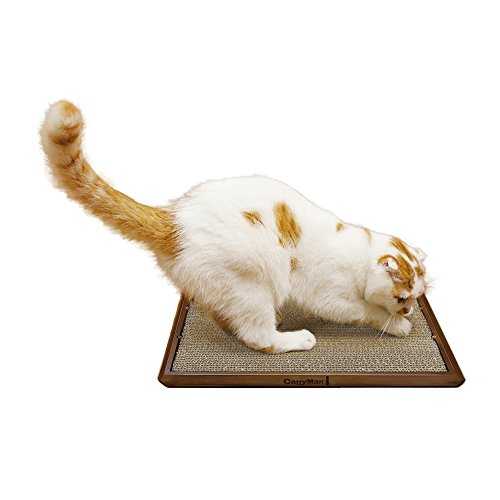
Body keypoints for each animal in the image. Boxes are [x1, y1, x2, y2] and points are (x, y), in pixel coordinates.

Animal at [41, 100, 428, 354]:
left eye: (418, 296)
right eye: (402, 298)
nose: (411, 309)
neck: (359, 254)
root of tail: (173, 217)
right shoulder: (330, 296)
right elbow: (366, 312)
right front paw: (397, 324)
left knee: (229, 320)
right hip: (254, 281)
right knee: (259, 338)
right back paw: (296, 338)